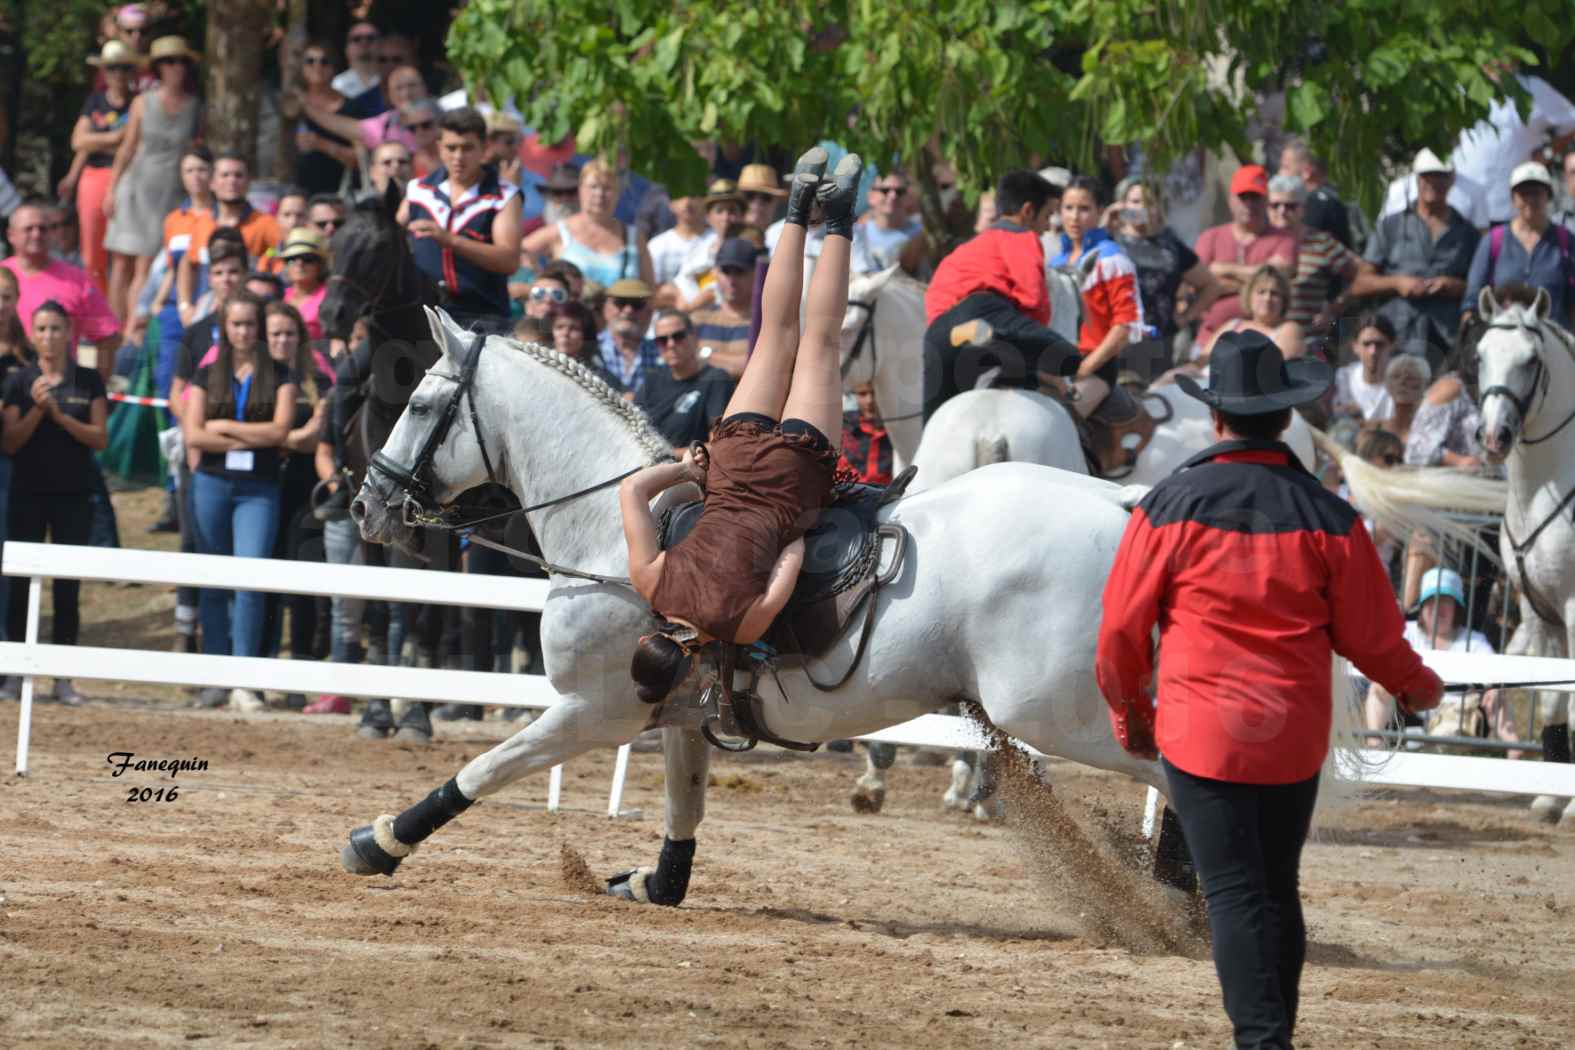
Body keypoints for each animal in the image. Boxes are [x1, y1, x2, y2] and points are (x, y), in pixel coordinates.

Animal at [341, 310, 1184, 906]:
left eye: (419, 403)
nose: (364, 503)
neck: (617, 530)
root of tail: (1122, 506)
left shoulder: (596, 710)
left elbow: (484, 768)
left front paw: (380, 842)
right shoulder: (679, 711)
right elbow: (684, 807)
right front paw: (656, 883)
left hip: (1054, 711)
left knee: (1170, 773)